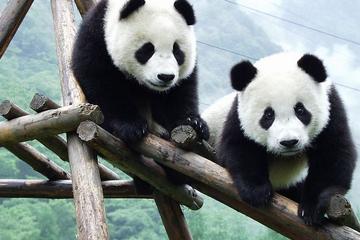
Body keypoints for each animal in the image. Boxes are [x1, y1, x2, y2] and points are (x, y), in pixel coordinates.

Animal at [71, 0, 208, 142]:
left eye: (177, 51)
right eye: (147, 49)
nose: (165, 77)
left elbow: (182, 91)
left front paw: (193, 122)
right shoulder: (96, 38)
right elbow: (102, 84)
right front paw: (130, 126)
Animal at [202, 52, 358, 225]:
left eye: (300, 110)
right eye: (268, 115)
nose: (289, 142)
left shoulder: (332, 108)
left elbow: (333, 154)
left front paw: (312, 207)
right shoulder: (238, 115)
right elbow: (238, 147)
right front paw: (257, 191)